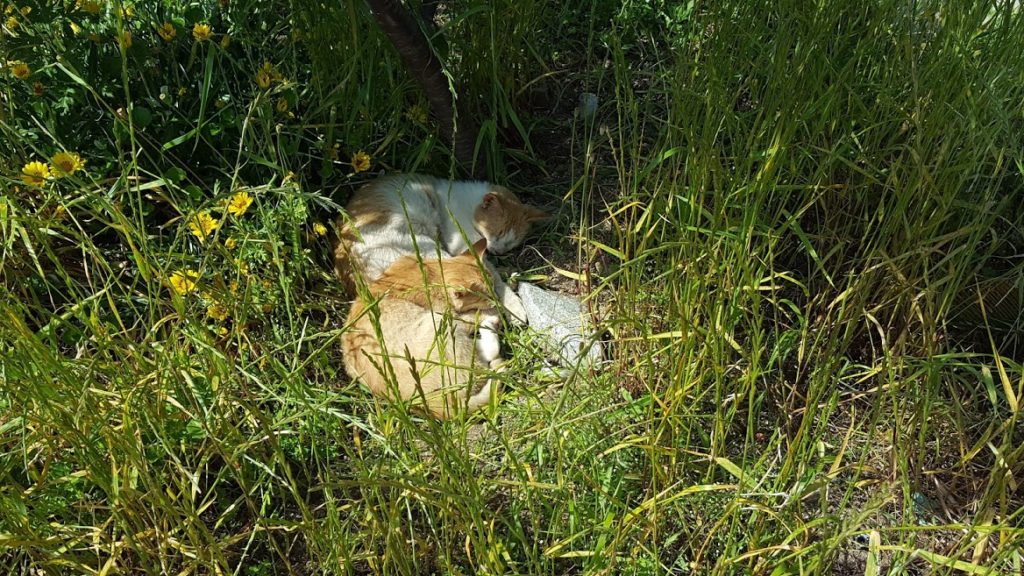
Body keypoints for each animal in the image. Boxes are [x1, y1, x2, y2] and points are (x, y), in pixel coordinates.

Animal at [333, 170, 544, 323]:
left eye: (511, 242)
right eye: (497, 232)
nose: (498, 251)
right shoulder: (463, 244)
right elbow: (494, 278)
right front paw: (513, 305)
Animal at [342, 237, 501, 416]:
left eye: (493, 285)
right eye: (486, 295)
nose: (496, 299)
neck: (431, 274)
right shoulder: (447, 314)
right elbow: (471, 315)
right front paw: (490, 311)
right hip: (440, 325)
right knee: (487, 359)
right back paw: (491, 323)